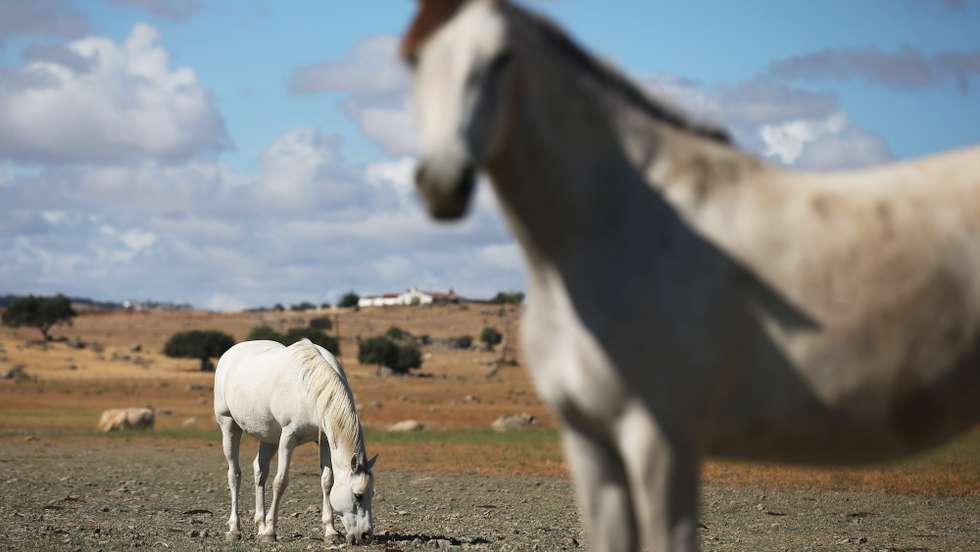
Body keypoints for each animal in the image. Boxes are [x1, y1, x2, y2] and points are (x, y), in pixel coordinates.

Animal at [213, 338, 376, 545]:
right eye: (358, 495)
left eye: (372, 493)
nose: (366, 536)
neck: (312, 388)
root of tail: (230, 353)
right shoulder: (288, 438)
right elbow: (280, 481)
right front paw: (270, 532)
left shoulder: (324, 442)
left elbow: (327, 482)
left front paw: (330, 532)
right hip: (229, 425)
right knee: (234, 474)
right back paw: (235, 529)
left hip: (269, 438)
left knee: (260, 471)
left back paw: (260, 525)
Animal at [400, 1, 980, 550]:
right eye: (413, 60)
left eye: (502, 58)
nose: (442, 182)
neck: (611, 224)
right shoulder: (590, 442)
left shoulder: (661, 438)